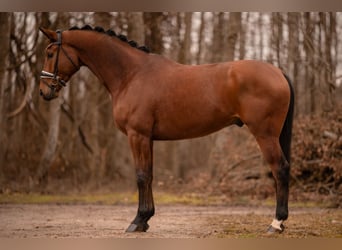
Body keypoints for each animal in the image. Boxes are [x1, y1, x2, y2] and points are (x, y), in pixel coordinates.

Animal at [37, 25, 294, 234]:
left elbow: (141, 176)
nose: (43, 91)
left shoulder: (137, 135)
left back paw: (276, 224)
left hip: (265, 134)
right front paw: (145, 219)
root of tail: (278, 72)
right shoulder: (147, 138)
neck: (132, 75)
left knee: (280, 169)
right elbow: (149, 175)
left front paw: (137, 221)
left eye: (50, 54)